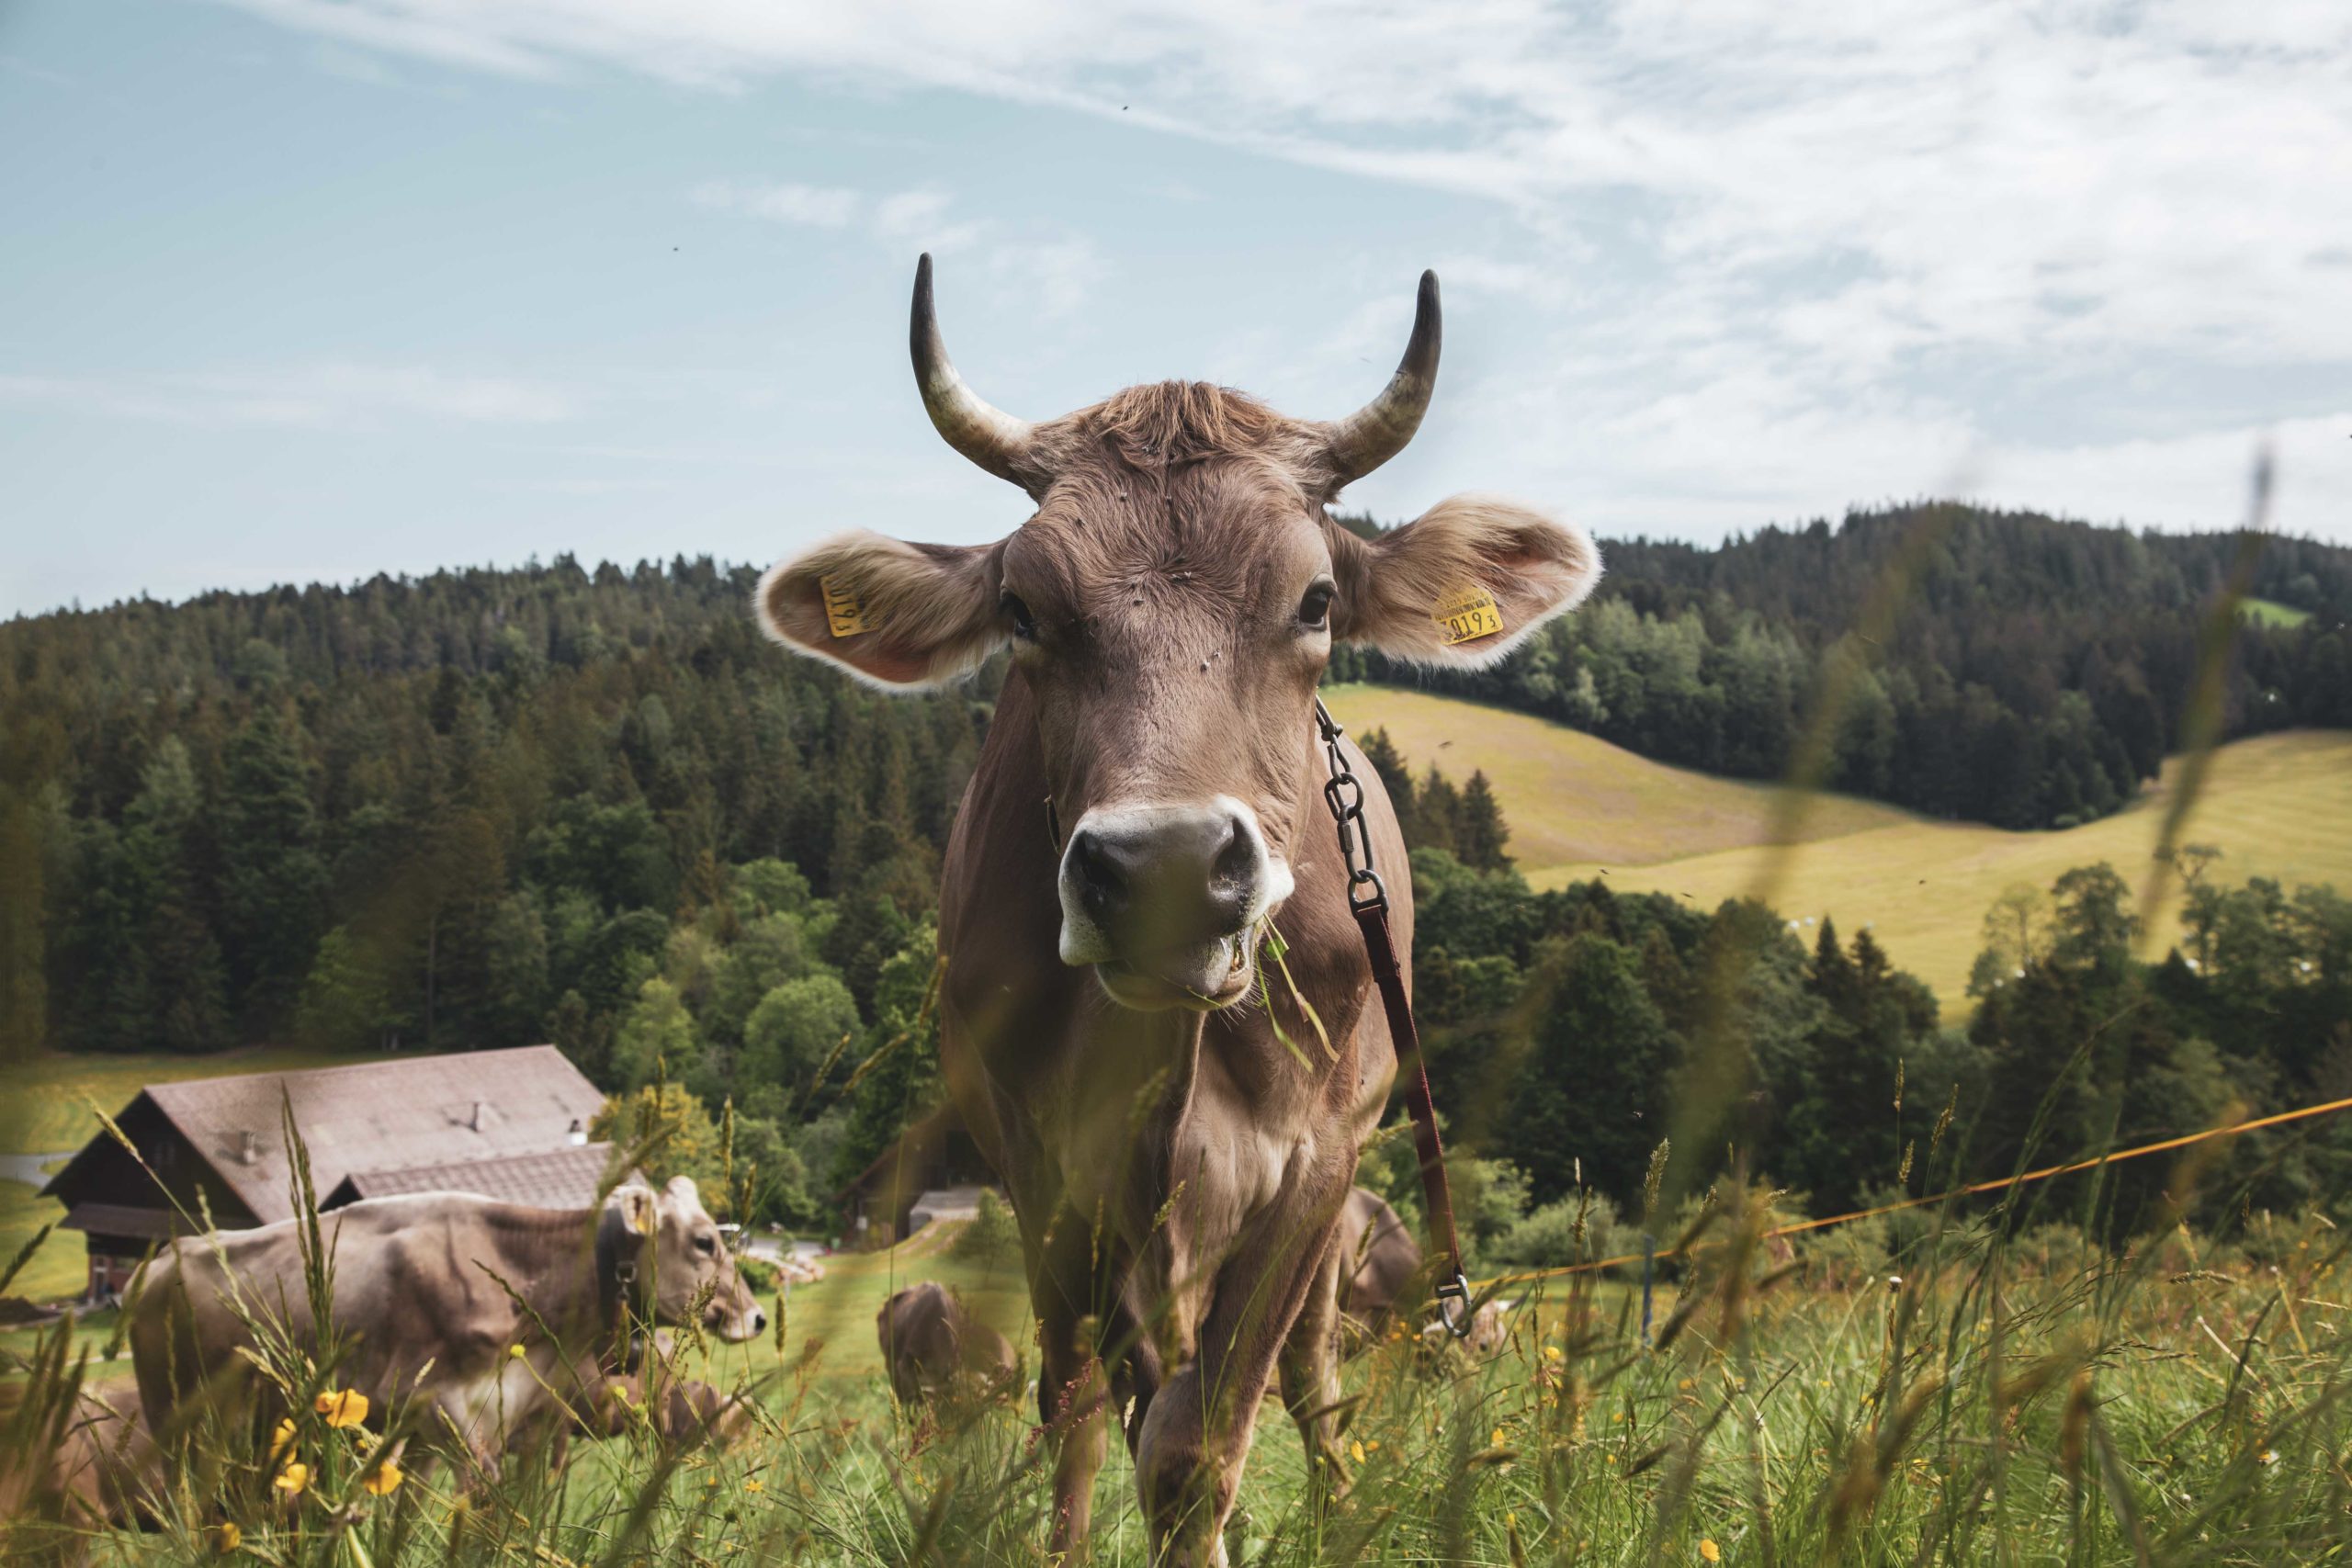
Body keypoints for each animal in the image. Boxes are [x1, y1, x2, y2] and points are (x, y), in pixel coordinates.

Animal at [129, 1178, 764, 1481]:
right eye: (704, 1242)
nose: (757, 1316)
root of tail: (160, 1260)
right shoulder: (435, 1406)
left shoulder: (502, 1422)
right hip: (178, 1425)